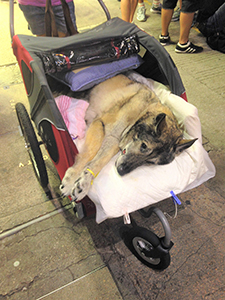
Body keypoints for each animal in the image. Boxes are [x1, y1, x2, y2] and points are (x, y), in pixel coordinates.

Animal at [60, 74, 197, 202]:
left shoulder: (114, 141)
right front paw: (70, 180)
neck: (141, 113)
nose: (121, 171)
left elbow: (97, 163)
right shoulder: (100, 124)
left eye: (151, 162)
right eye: (144, 146)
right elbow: (88, 154)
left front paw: (83, 183)